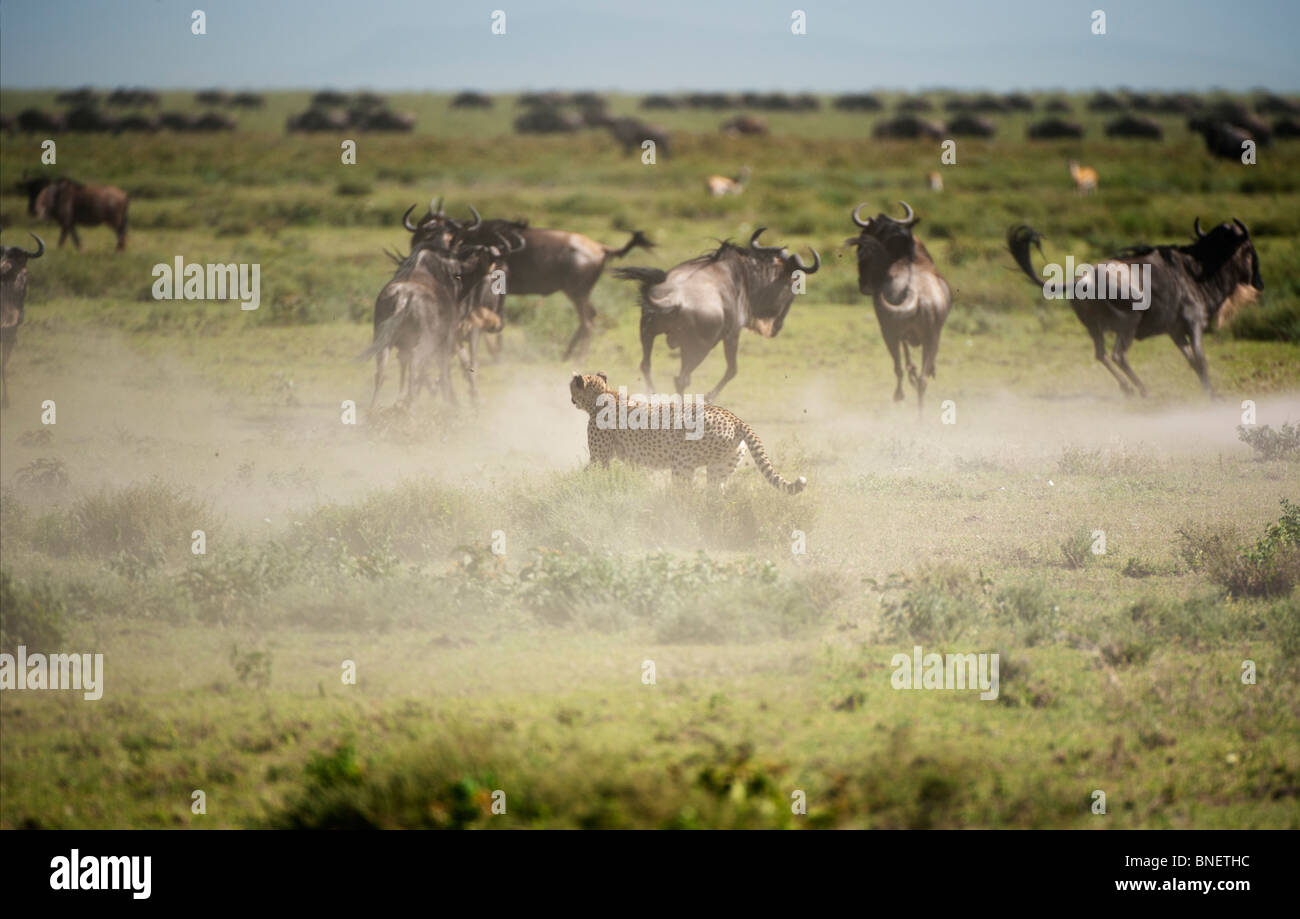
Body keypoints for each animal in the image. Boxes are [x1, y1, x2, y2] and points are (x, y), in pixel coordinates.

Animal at [566, 369, 800, 491]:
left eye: (571, 387)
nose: (570, 399)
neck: (602, 397)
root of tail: (734, 418)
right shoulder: (631, 460)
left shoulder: (599, 458)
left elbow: (588, 473)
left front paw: (572, 487)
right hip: (719, 469)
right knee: (714, 497)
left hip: (682, 462)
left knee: (684, 495)